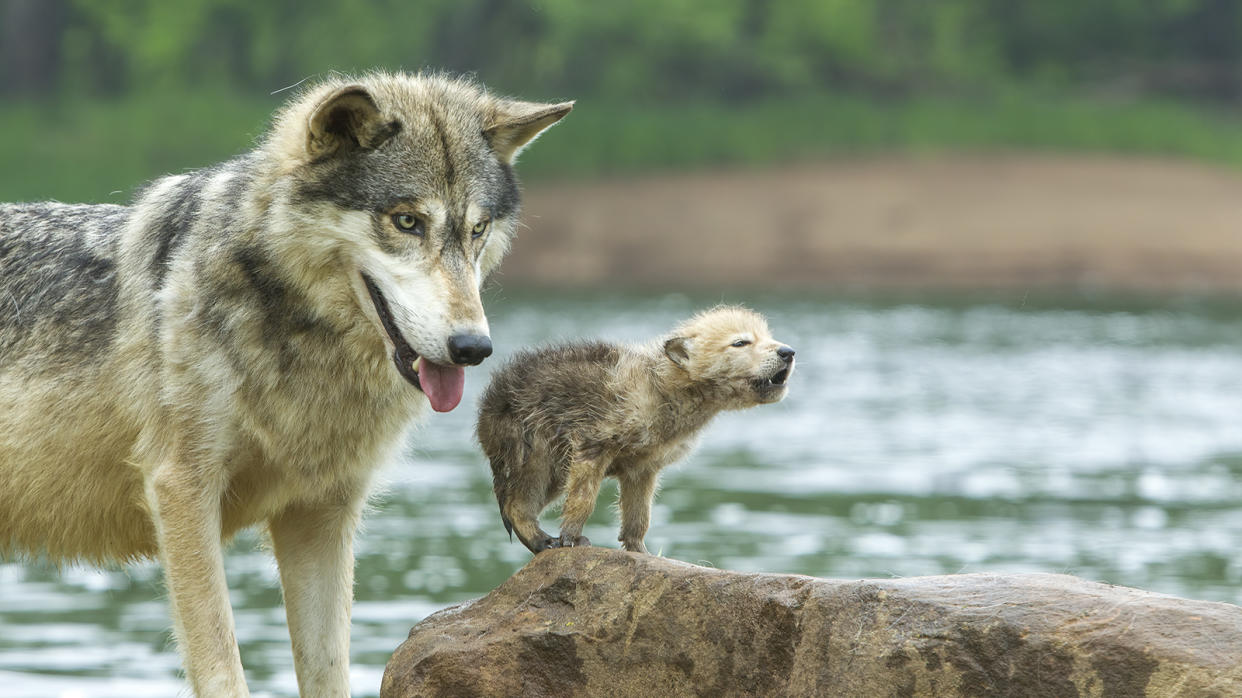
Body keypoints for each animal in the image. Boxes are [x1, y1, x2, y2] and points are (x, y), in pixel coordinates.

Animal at [0, 72, 571, 695]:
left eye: (477, 229)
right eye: (406, 221)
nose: (473, 348)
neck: (298, 340)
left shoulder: (321, 515)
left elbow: (329, 672)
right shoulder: (181, 492)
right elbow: (223, 668)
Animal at [474, 306, 794, 551]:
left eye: (767, 336)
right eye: (740, 343)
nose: (787, 351)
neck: (663, 387)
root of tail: (487, 407)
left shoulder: (643, 467)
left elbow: (639, 514)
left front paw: (640, 549)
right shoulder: (594, 441)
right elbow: (582, 497)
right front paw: (571, 538)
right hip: (531, 446)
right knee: (518, 503)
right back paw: (542, 540)